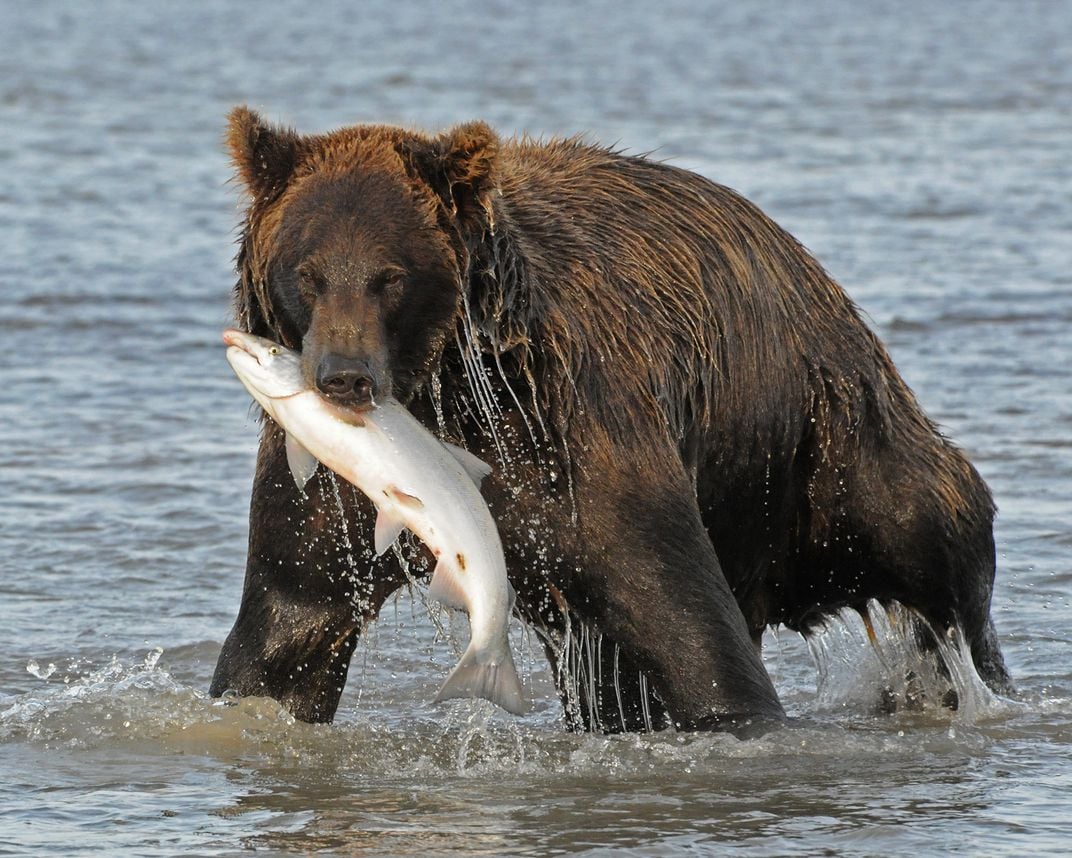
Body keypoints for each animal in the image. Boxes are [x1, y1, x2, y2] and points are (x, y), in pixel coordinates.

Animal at [209, 107, 1011, 733]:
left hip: (826, 433)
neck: (450, 398)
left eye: (390, 275)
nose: (343, 377)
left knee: (930, 526)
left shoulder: (580, 439)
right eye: (308, 271)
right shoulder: (329, 492)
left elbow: (689, 633)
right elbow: (285, 633)